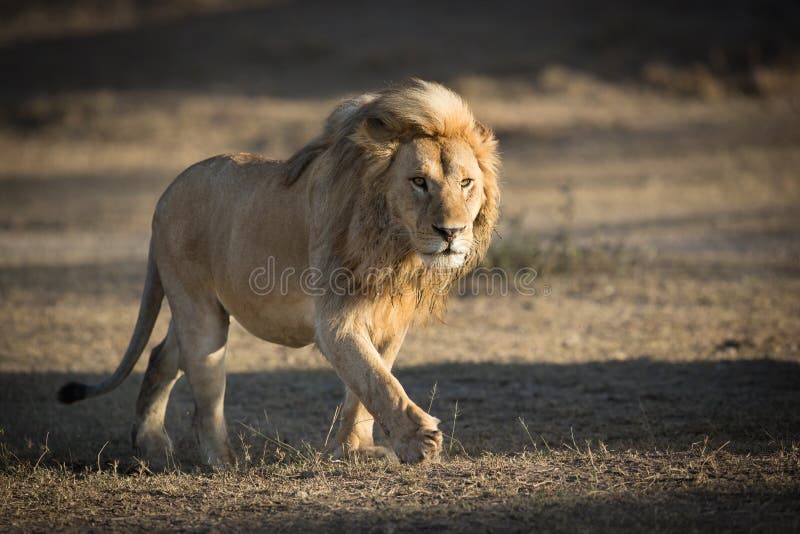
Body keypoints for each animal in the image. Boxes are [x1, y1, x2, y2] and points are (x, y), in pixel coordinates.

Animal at [59, 79, 500, 468]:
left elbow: (364, 387)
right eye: (418, 182)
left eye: (466, 183)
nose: (451, 232)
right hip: (200, 311)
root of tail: (165, 195)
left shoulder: (389, 320)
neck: (395, 248)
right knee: (204, 391)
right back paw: (222, 461)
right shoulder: (335, 321)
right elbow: (377, 380)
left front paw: (354, 449)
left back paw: (149, 443)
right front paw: (418, 440)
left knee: (160, 356)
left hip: (193, 309)